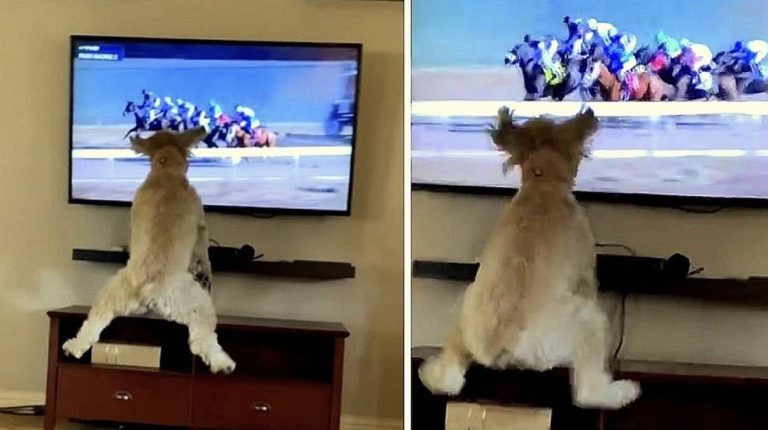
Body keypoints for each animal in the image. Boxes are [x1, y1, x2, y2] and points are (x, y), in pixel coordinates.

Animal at [62, 127, 236, 372]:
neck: (165, 169)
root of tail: (147, 291)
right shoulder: (200, 222)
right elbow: (204, 251)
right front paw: (205, 269)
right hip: (197, 305)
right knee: (203, 341)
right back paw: (224, 363)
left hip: (109, 298)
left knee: (91, 325)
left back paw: (72, 347)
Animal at [416, 106, 640, 408]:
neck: (541, 181)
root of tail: (501, 348)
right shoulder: (584, 270)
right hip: (589, 322)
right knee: (587, 392)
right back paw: (622, 392)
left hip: (462, 314)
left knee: (448, 378)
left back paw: (429, 371)